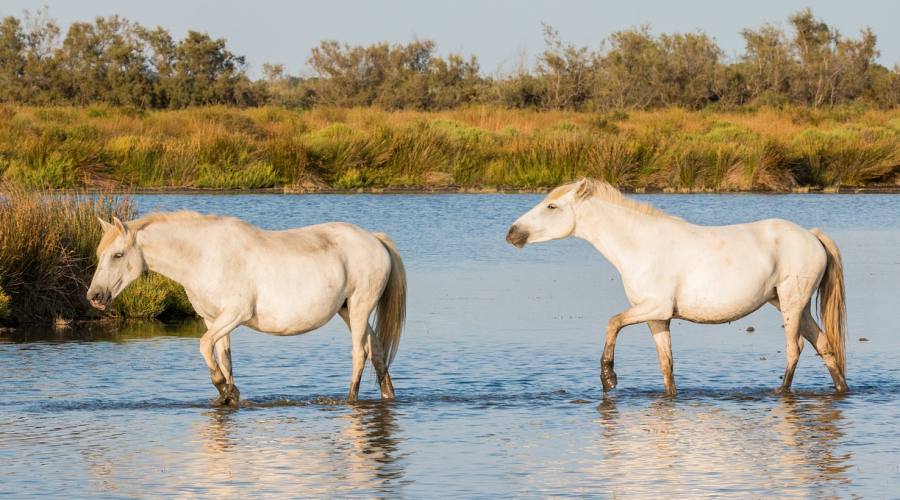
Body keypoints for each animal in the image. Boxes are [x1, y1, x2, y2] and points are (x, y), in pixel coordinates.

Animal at [86, 212, 406, 406]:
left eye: (117, 255)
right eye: (101, 254)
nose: (95, 296)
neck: (204, 256)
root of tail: (375, 239)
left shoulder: (234, 315)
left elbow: (204, 346)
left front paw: (225, 389)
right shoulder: (213, 319)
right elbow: (224, 359)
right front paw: (228, 396)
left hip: (360, 307)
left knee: (359, 355)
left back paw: (349, 400)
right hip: (348, 311)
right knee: (377, 353)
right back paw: (388, 396)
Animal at [510, 179, 848, 394]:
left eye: (552, 206)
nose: (512, 233)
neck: (638, 244)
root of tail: (812, 236)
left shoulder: (653, 307)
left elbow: (612, 322)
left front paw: (608, 377)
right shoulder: (657, 318)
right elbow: (666, 367)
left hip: (792, 303)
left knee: (795, 349)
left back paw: (781, 391)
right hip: (792, 305)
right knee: (824, 345)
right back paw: (841, 388)